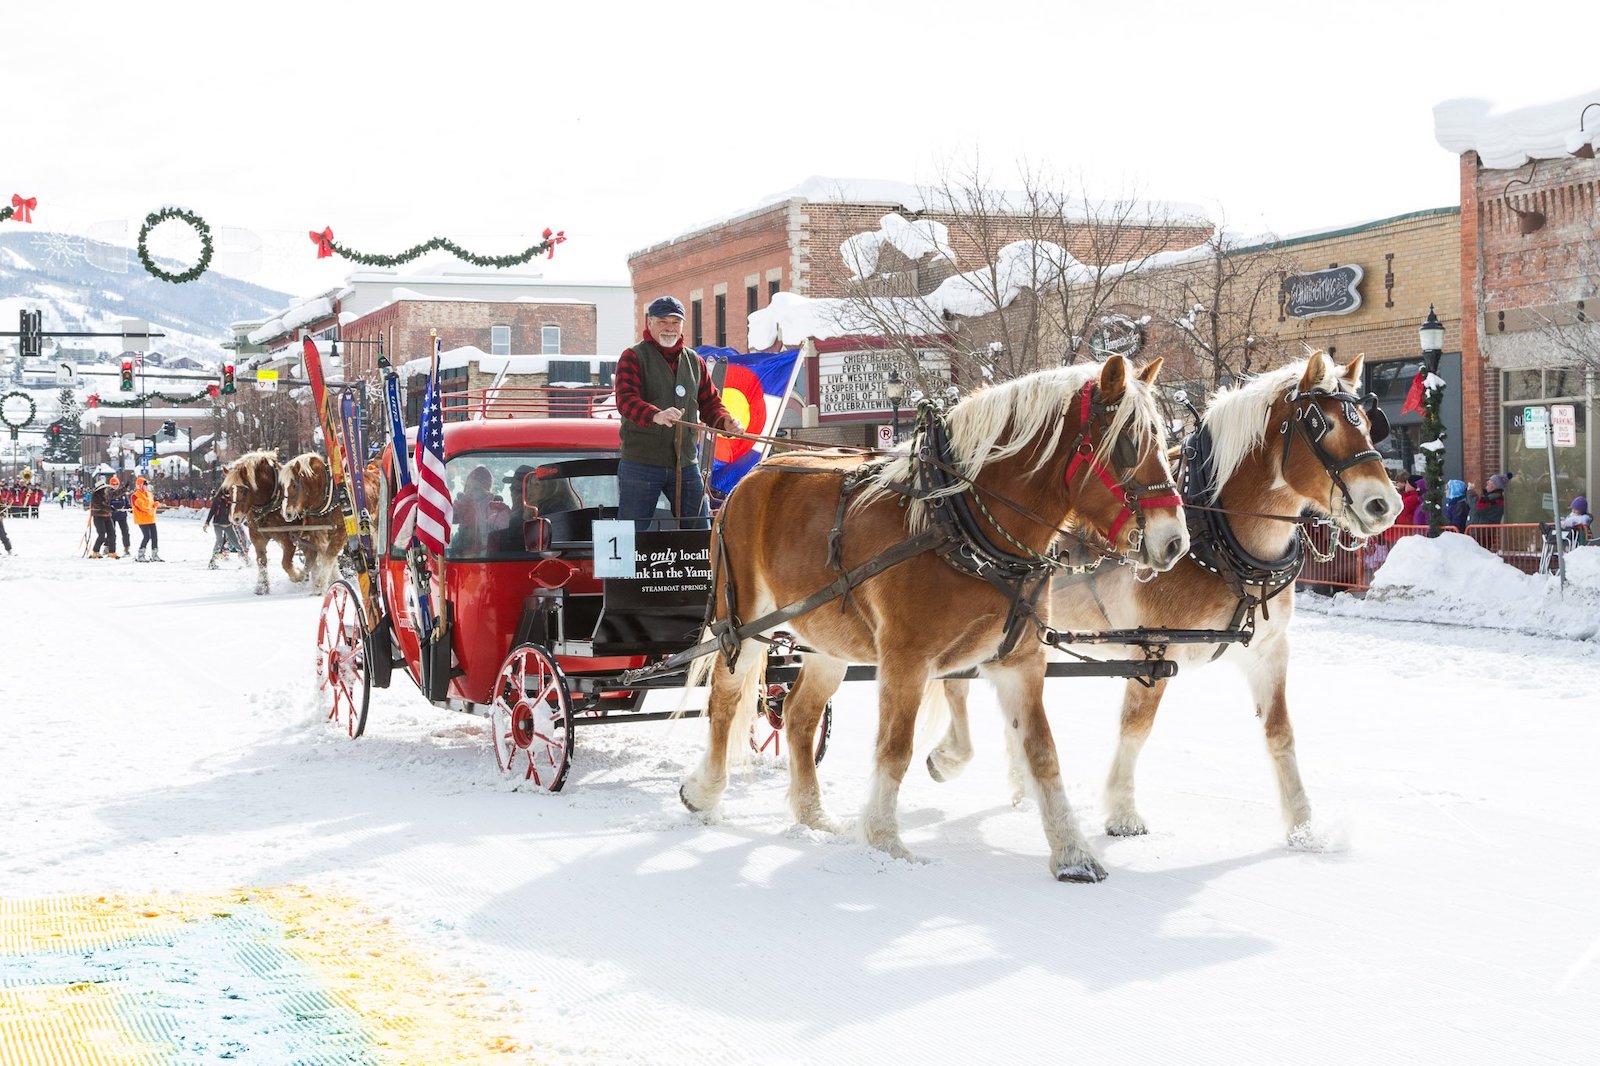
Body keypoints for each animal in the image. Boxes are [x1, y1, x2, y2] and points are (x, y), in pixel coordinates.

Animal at [220, 448, 304, 592]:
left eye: (244, 490)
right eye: (229, 491)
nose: (235, 518)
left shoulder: (290, 539)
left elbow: (286, 563)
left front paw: (298, 575)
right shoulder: (257, 537)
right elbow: (261, 561)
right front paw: (262, 587)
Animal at [681, 352, 1196, 877]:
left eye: (1165, 442)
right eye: (1128, 445)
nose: (1175, 541)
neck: (959, 520)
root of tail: (750, 477)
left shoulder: (1020, 662)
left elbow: (1042, 752)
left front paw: (1073, 854)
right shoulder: (905, 658)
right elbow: (895, 748)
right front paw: (885, 840)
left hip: (828, 639)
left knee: (799, 714)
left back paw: (813, 814)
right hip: (742, 624)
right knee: (724, 700)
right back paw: (705, 791)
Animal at [928, 352, 1401, 845]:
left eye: (1368, 423)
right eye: (1322, 425)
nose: (1385, 505)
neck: (1217, 538)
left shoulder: (1269, 651)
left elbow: (1281, 733)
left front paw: (1303, 826)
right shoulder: (1154, 646)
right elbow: (1136, 727)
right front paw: (1122, 812)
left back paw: (1019, 782)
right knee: (956, 681)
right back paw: (950, 757)